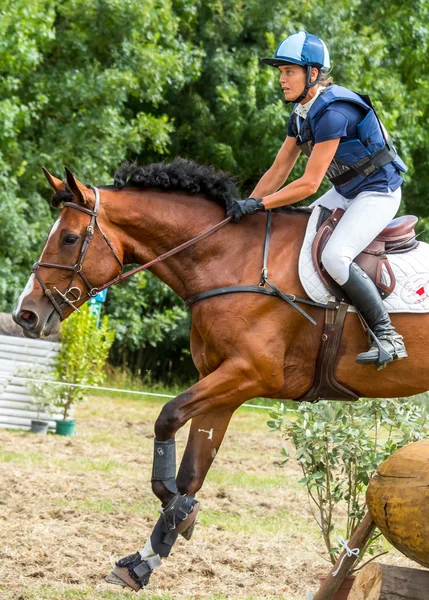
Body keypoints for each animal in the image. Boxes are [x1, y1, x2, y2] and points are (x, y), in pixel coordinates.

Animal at [11, 158, 428, 592]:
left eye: (70, 238)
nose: (25, 314)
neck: (227, 260)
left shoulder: (250, 374)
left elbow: (167, 418)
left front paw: (177, 512)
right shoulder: (222, 387)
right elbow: (192, 471)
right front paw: (148, 555)